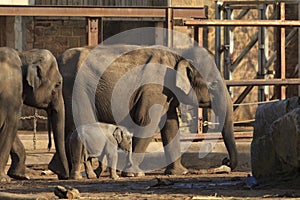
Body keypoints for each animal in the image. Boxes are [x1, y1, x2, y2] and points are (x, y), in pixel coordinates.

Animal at [0, 47, 69, 181]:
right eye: (57, 84)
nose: (64, 176)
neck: (23, 55)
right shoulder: (11, 94)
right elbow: (9, 126)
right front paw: (4, 179)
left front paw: (20, 176)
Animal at [57, 44, 238, 178]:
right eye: (214, 84)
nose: (226, 161)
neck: (178, 53)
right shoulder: (155, 88)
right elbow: (147, 122)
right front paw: (134, 174)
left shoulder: (166, 93)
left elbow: (171, 124)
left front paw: (179, 172)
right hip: (76, 90)